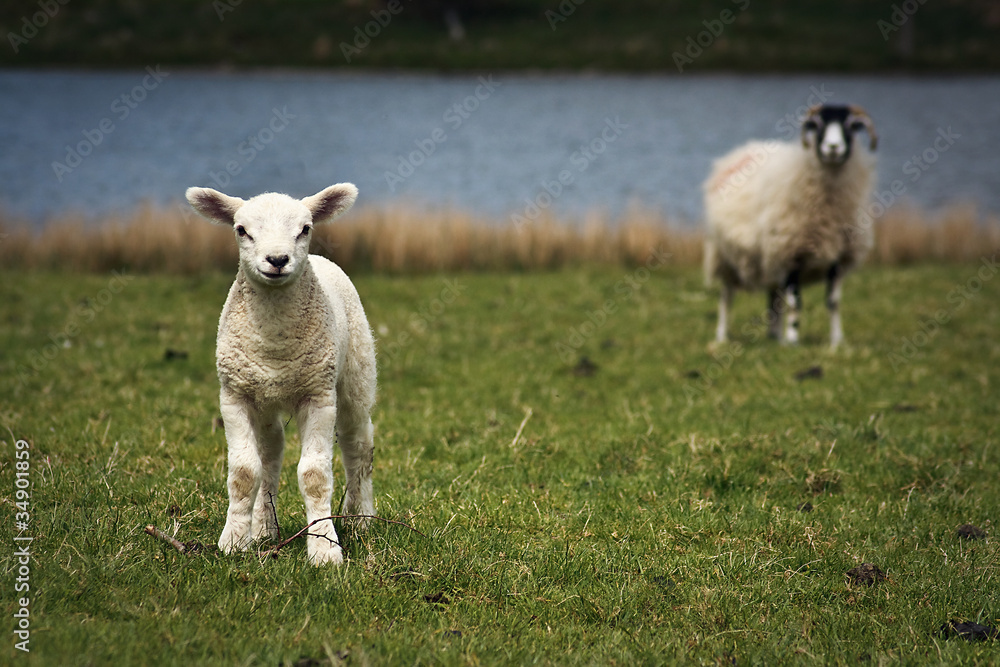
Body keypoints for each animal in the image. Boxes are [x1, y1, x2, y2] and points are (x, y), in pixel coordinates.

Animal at [185, 183, 377, 566]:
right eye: (241, 230)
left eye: (305, 228)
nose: (277, 260)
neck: (275, 344)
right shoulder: (234, 395)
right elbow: (245, 472)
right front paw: (234, 541)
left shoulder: (319, 396)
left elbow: (314, 475)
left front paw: (324, 549)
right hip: (263, 397)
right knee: (270, 453)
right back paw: (263, 529)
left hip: (356, 375)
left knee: (359, 445)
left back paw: (361, 519)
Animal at [703, 104, 878, 348]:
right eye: (818, 125)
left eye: (851, 126)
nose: (833, 147)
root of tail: (746, 147)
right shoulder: (792, 254)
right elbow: (796, 302)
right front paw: (793, 340)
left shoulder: (837, 257)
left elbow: (833, 302)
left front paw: (837, 342)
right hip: (725, 255)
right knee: (726, 296)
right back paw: (721, 337)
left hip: (769, 259)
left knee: (774, 297)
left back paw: (774, 336)